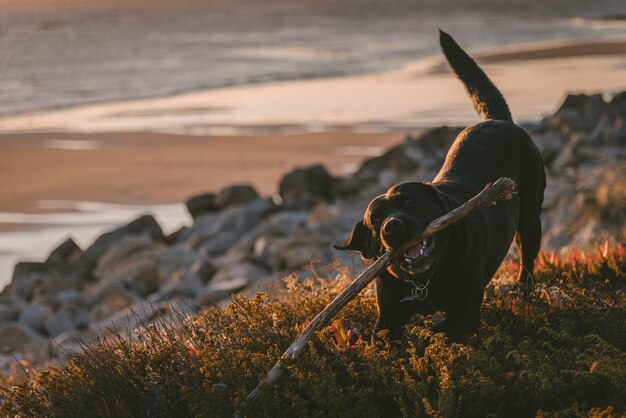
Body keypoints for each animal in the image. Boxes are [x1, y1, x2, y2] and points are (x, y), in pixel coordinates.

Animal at [334, 31, 544, 342]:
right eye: (376, 220)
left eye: (409, 201)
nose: (392, 226)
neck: (425, 281)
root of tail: (497, 120)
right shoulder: (387, 318)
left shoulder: (466, 312)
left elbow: (436, 336)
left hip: (530, 221)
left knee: (527, 264)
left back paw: (524, 296)